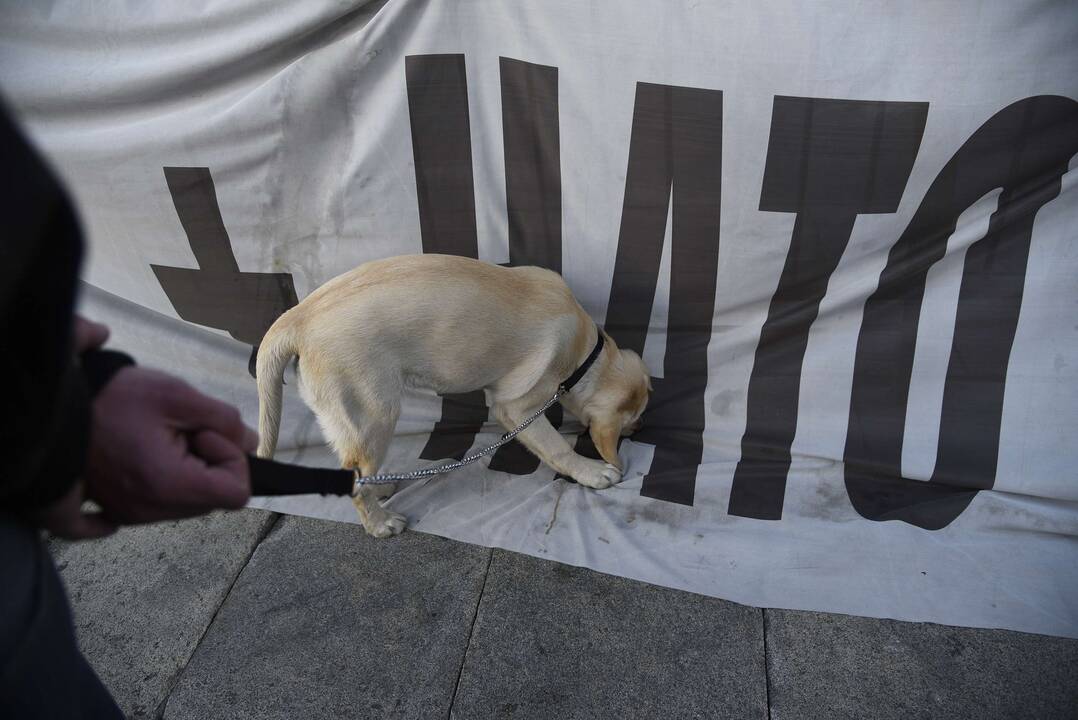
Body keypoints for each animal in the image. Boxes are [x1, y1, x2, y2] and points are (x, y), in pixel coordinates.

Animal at [256, 255, 651, 536]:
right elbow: (557, 448)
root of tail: (297, 316)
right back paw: (380, 524)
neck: (587, 356)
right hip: (374, 414)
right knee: (356, 480)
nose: (640, 430)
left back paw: (381, 491)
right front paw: (592, 471)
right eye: (633, 418)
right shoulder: (517, 407)